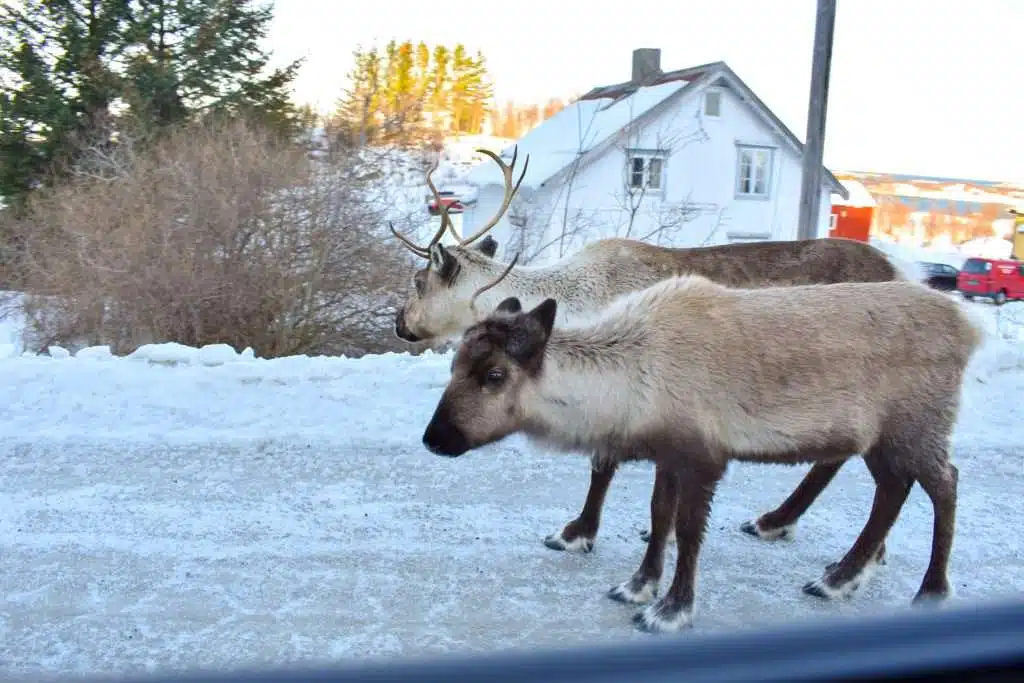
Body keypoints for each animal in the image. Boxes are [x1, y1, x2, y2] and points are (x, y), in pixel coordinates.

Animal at [390, 145, 919, 560]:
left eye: (418, 282)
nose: (398, 324)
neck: (572, 299)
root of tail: (902, 270)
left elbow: (603, 464)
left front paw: (578, 533)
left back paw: (783, 523)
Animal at [419, 275, 983, 632]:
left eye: (495, 375)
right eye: (454, 364)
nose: (435, 438)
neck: (634, 371)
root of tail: (968, 325)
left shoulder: (704, 458)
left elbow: (688, 532)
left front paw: (671, 609)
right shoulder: (670, 454)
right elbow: (658, 516)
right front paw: (639, 585)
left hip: (917, 426)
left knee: (945, 484)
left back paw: (931, 590)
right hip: (885, 439)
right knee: (892, 489)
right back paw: (839, 578)